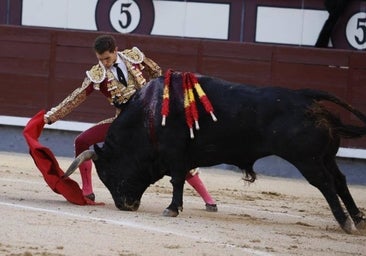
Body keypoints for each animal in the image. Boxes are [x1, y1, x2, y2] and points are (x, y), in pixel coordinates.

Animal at [66, 72, 366, 234]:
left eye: (107, 172)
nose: (124, 205)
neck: (148, 116)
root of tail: (305, 96)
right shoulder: (180, 156)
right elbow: (182, 178)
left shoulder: (175, 153)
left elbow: (177, 180)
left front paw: (172, 209)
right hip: (326, 156)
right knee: (339, 181)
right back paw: (358, 220)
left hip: (308, 160)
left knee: (325, 184)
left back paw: (345, 223)